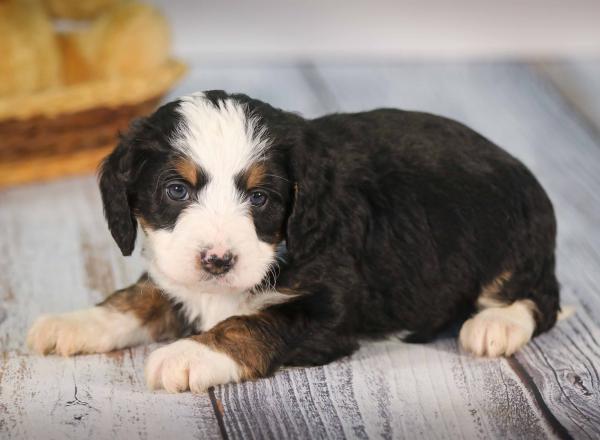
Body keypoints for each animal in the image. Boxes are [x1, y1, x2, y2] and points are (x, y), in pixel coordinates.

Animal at [27, 89, 564, 392]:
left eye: (261, 197)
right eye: (176, 190)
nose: (218, 261)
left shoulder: (327, 308)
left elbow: (252, 323)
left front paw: (190, 355)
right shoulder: (175, 274)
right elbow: (140, 295)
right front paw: (76, 322)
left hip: (515, 236)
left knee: (541, 297)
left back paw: (495, 325)